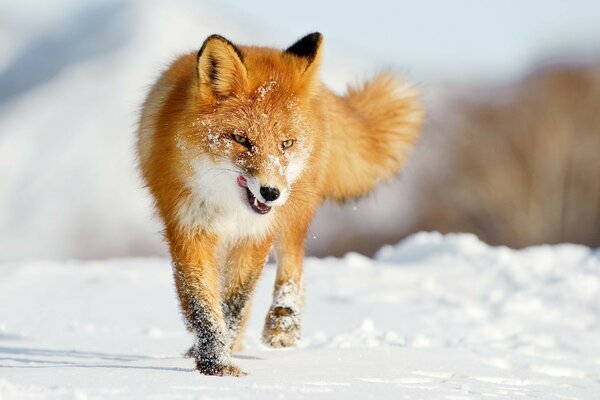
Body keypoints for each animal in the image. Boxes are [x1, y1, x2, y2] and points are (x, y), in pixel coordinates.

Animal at [138, 33, 424, 376]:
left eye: (285, 144)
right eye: (241, 140)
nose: (270, 192)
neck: (228, 208)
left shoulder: (256, 234)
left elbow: (234, 302)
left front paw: (220, 360)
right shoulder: (189, 230)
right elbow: (203, 305)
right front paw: (216, 363)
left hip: (293, 214)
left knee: (293, 266)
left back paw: (283, 324)